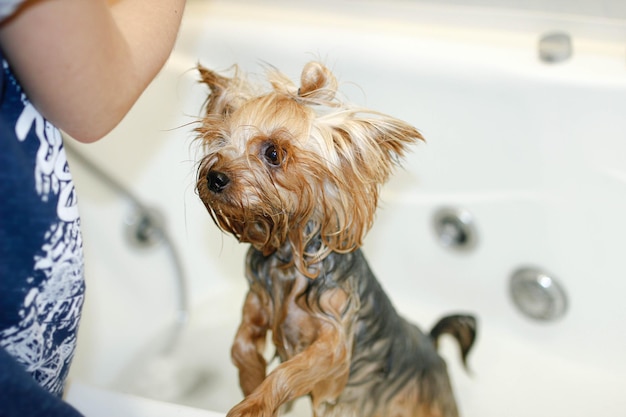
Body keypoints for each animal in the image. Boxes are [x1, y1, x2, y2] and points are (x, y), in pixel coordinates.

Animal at [195, 61, 472, 416]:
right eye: (221, 139)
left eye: (273, 153)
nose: (214, 177)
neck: (288, 255)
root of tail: (429, 342)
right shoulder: (256, 303)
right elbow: (240, 346)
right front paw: (251, 379)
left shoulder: (333, 344)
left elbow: (286, 374)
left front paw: (253, 405)